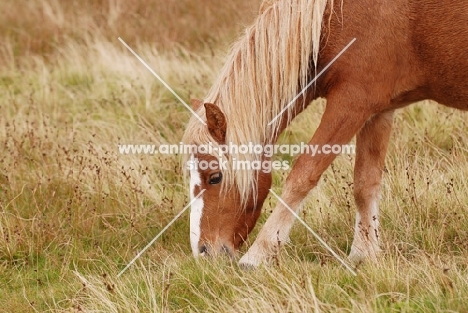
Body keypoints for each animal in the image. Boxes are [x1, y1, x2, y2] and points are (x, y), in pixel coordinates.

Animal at [182, 0, 468, 266]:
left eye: (215, 177)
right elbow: (365, 183)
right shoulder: (379, 110)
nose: (202, 251)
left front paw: (257, 256)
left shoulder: (351, 103)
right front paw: (364, 254)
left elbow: (303, 175)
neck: (332, 19)